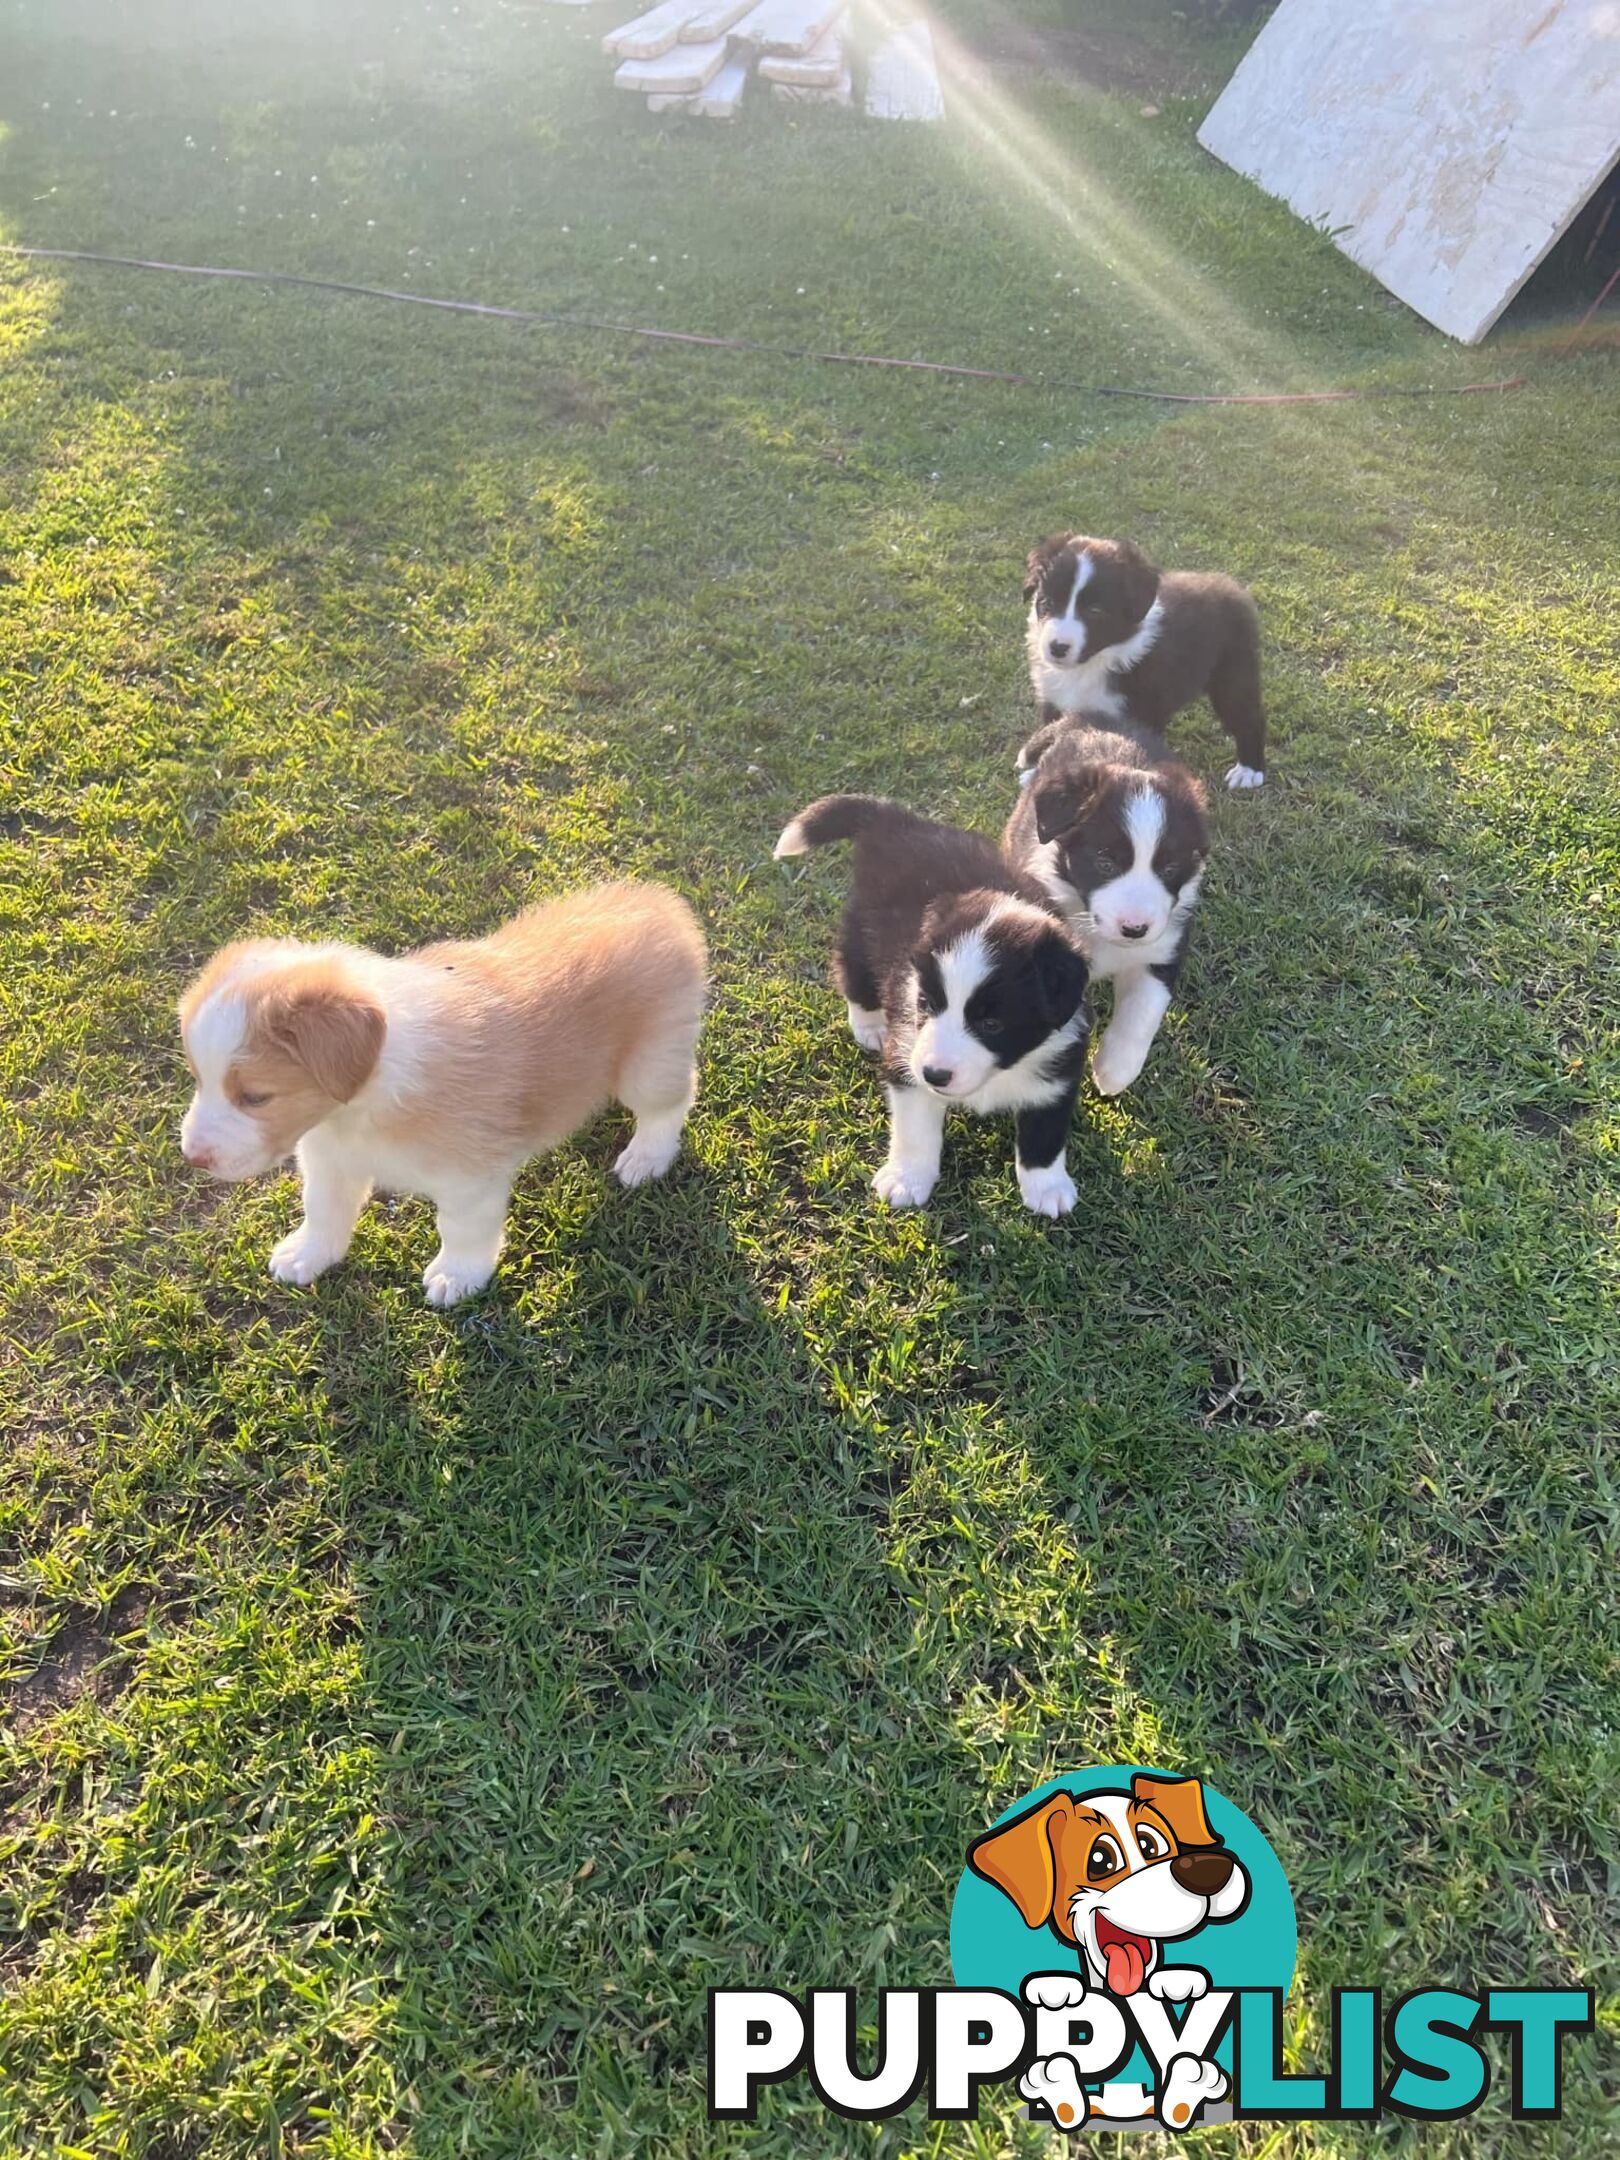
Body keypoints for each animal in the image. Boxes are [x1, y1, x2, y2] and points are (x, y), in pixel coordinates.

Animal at [180, 885, 708, 1304]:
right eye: (199, 1079)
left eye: (255, 1097)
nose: (192, 1158)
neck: (359, 1107)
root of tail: (660, 903)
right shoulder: (327, 1159)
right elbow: (323, 1209)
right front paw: (307, 1254)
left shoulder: (470, 1179)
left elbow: (460, 1229)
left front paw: (457, 1276)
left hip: (648, 1063)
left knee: (673, 1100)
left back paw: (645, 1157)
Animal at [773, 803, 1092, 1226]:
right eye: (926, 1004)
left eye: (991, 1023)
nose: (935, 1074)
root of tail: (895, 817)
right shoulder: (906, 1057)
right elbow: (915, 1130)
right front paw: (906, 1180)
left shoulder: (1059, 1070)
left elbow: (1045, 1137)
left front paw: (1047, 1188)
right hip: (861, 930)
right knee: (852, 973)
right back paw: (869, 1024)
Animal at [1010, 725, 1209, 1097]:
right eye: (1104, 863)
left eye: (1170, 869)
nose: (1135, 928)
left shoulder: (1162, 949)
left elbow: (1142, 1010)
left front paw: (1114, 1069)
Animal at [1028, 533, 1270, 794]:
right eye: (1047, 602)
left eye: (1095, 611)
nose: (1057, 647)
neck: (1090, 665)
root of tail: (1229, 585)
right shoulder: (1054, 699)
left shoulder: (1140, 712)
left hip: (1233, 676)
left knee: (1248, 717)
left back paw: (1249, 769)